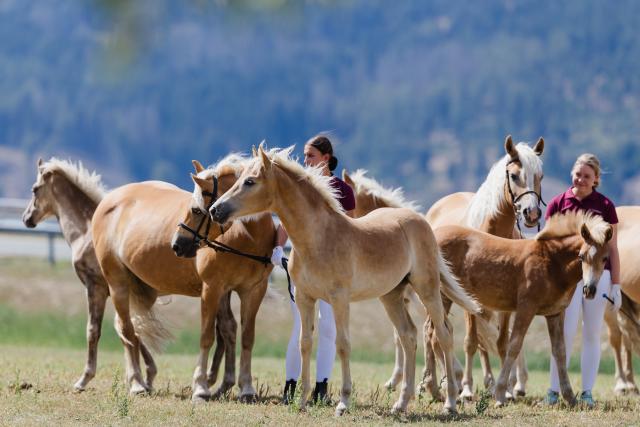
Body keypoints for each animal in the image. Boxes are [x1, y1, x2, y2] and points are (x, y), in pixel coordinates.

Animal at [21, 158, 161, 392]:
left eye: (35, 189)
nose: (26, 219)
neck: (87, 232)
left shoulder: (96, 287)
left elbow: (96, 330)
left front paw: (84, 379)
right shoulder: (121, 293)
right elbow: (129, 329)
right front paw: (146, 378)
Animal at [91, 154, 275, 402]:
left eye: (196, 210)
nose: (177, 245)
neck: (245, 238)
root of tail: (108, 200)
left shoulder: (252, 290)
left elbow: (244, 336)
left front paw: (246, 388)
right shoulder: (212, 288)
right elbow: (207, 336)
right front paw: (200, 388)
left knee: (125, 328)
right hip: (117, 283)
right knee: (127, 330)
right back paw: (137, 383)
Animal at [209, 145, 481, 415]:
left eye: (250, 181)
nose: (215, 210)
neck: (318, 238)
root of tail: (421, 220)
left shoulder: (339, 299)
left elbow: (342, 344)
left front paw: (343, 402)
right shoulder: (305, 298)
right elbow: (305, 343)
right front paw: (303, 400)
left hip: (427, 289)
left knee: (443, 335)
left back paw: (451, 402)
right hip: (391, 295)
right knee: (408, 336)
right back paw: (401, 404)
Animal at [435, 211, 613, 407]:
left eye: (605, 258)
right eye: (581, 256)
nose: (589, 290)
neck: (551, 262)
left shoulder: (555, 313)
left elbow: (560, 351)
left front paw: (570, 396)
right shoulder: (526, 308)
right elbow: (514, 346)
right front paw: (500, 394)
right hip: (442, 296)